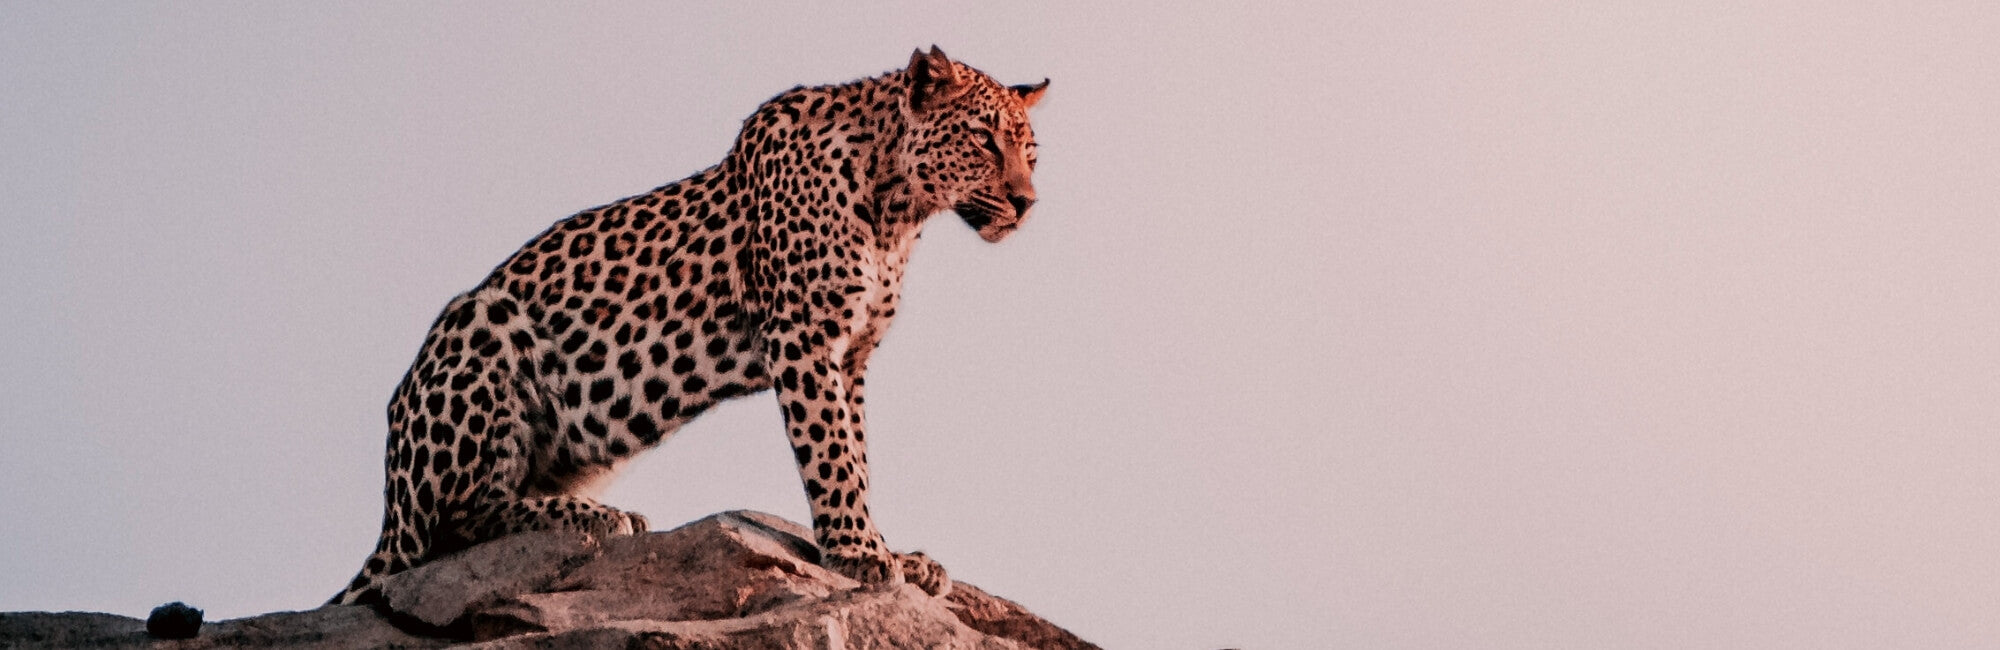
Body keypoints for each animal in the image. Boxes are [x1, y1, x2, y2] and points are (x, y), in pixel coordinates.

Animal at [329, 46, 1047, 605]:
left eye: (1031, 153)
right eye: (984, 140)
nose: (1027, 202)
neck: (898, 208)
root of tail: (389, 511)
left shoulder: (852, 356)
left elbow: (858, 453)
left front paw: (889, 549)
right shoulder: (803, 337)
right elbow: (832, 453)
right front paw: (858, 552)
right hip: (480, 321)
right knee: (450, 528)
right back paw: (597, 517)